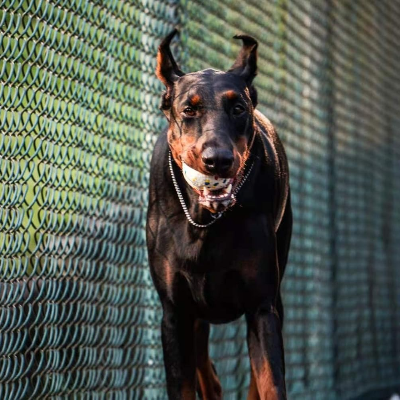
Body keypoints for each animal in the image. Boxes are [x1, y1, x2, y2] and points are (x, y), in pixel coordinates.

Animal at [145, 29, 292, 398]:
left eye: (238, 108)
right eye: (189, 109)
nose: (218, 160)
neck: (205, 220)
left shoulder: (262, 305)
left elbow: (270, 381)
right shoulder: (175, 313)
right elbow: (183, 383)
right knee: (205, 368)